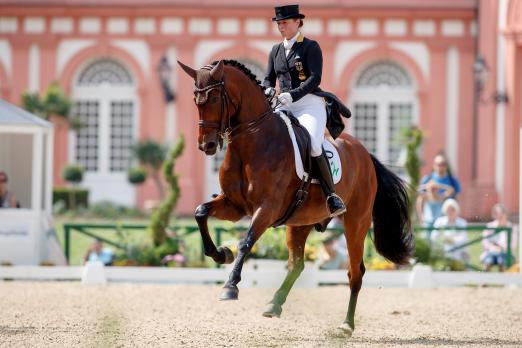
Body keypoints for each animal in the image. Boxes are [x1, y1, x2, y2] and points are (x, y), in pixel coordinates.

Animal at [177, 58, 412, 336]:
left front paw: (230, 287)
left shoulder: (267, 209)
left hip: (356, 222)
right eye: (195, 99)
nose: (207, 146)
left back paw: (346, 325)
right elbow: (200, 212)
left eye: (214, 98)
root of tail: (364, 153)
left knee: (355, 272)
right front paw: (221, 254)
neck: (252, 142)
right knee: (297, 264)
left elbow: (246, 242)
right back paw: (274, 304)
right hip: (300, 222)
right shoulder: (234, 206)